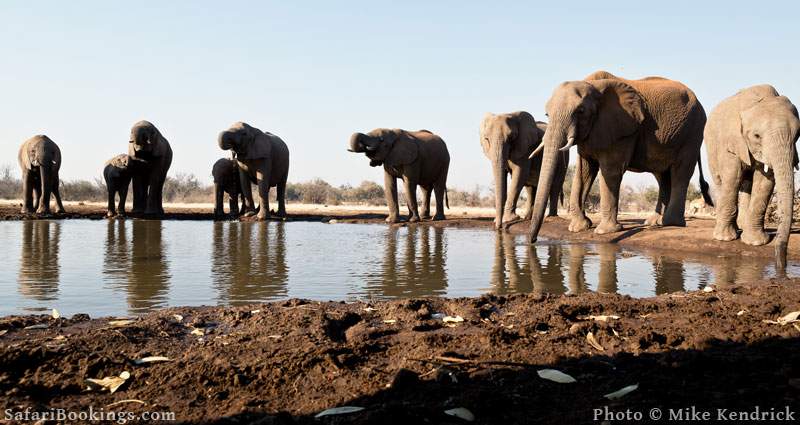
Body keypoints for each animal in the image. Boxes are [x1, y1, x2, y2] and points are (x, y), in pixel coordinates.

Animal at [528, 70, 708, 242]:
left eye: (580, 111)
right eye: (547, 114)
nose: (533, 240)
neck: (593, 86)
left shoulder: (621, 130)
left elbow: (610, 171)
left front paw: (605, 231)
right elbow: (584, 172)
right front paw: (579, 228)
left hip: (692, 133)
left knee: (680, 172)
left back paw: (670, 223)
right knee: (662, 175)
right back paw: (654, 222)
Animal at [708, 84, 800, 266]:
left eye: (797, 135)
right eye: (756, 136)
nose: (782, 264)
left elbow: (765, 181)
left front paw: (755, 242)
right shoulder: (731, 142)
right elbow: (733, 176)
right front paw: (725, 239)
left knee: (747, 184)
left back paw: (742, 226)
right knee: (723, 182)